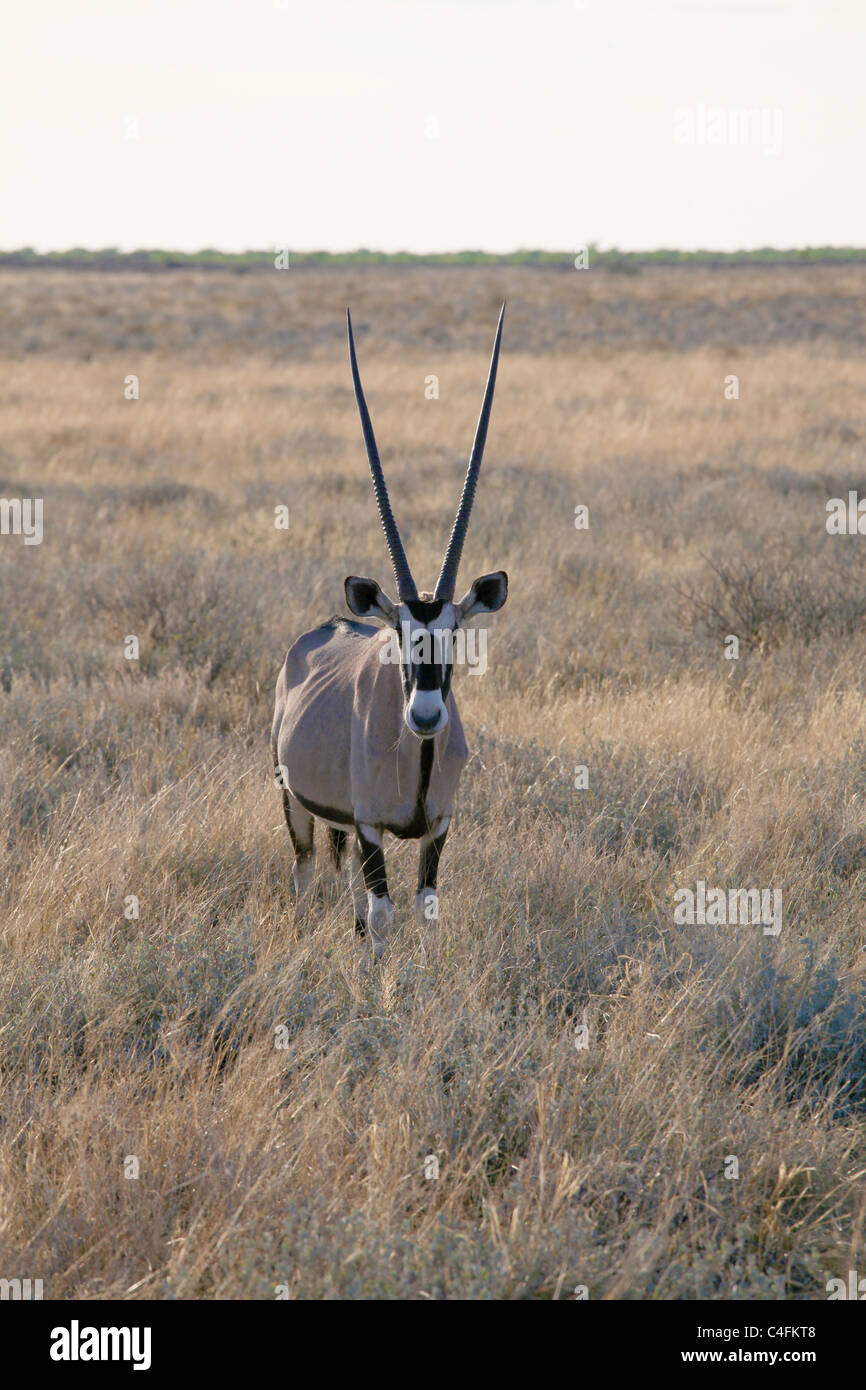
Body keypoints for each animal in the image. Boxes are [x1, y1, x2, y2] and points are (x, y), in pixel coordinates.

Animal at [272, 307, 508, 956]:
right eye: (399, 635)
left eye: (455, 633)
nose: (425, 716)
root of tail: (328, 626)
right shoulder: (373, 824)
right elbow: (383, 915)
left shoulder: (438, 827)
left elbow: (424, 909)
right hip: (295, 802)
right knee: (306, 873)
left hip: (344, 823)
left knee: (345, 877)